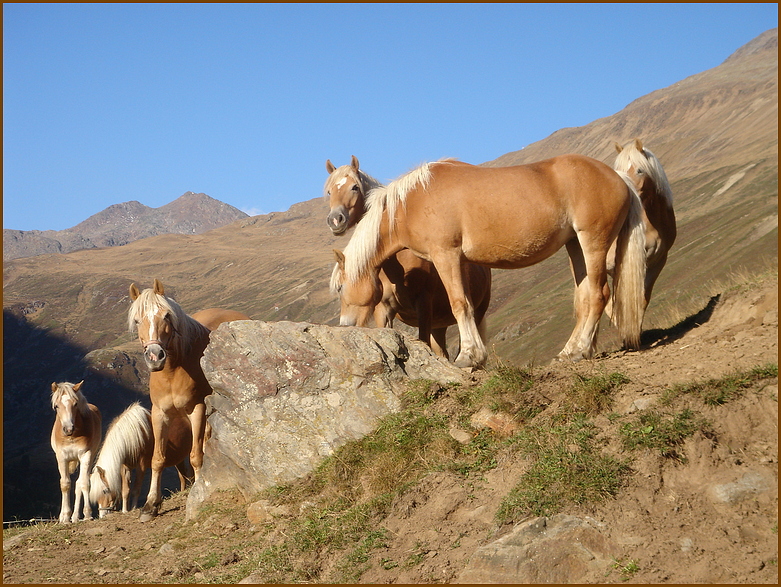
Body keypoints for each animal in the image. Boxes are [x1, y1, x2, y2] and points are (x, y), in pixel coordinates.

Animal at [49, 382, 101, 524]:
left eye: (75, 404)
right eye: (56, 406)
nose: (68, 429)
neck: (72, 437)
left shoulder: (86, 455)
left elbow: (84, 483)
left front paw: (87, 514)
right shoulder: (61, 457)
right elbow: (65, 484)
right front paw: (65, 517)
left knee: (79, 483)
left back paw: (76, 516)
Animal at [128, 280, 248, 520]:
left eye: (166, 315)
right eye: (137, 320)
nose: (155, 356)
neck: (172, 372)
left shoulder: (197, 409)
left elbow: (195, 456)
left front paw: (199, 491)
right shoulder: (159, 414)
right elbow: (157, 459)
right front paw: (151, 505)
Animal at [342, 154, 644, 370]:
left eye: (341, 289)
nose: (345, 326)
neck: (411, 203)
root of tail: (618, 178)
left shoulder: (445, 255)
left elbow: (460, 305)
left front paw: (468, 357)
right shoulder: (459, 262)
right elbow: (468, 306)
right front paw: (476, 355)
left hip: (593, 243)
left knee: (598, 295)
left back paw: (581, 350)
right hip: (575, 246)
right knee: (584, 298)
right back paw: (570, 351)